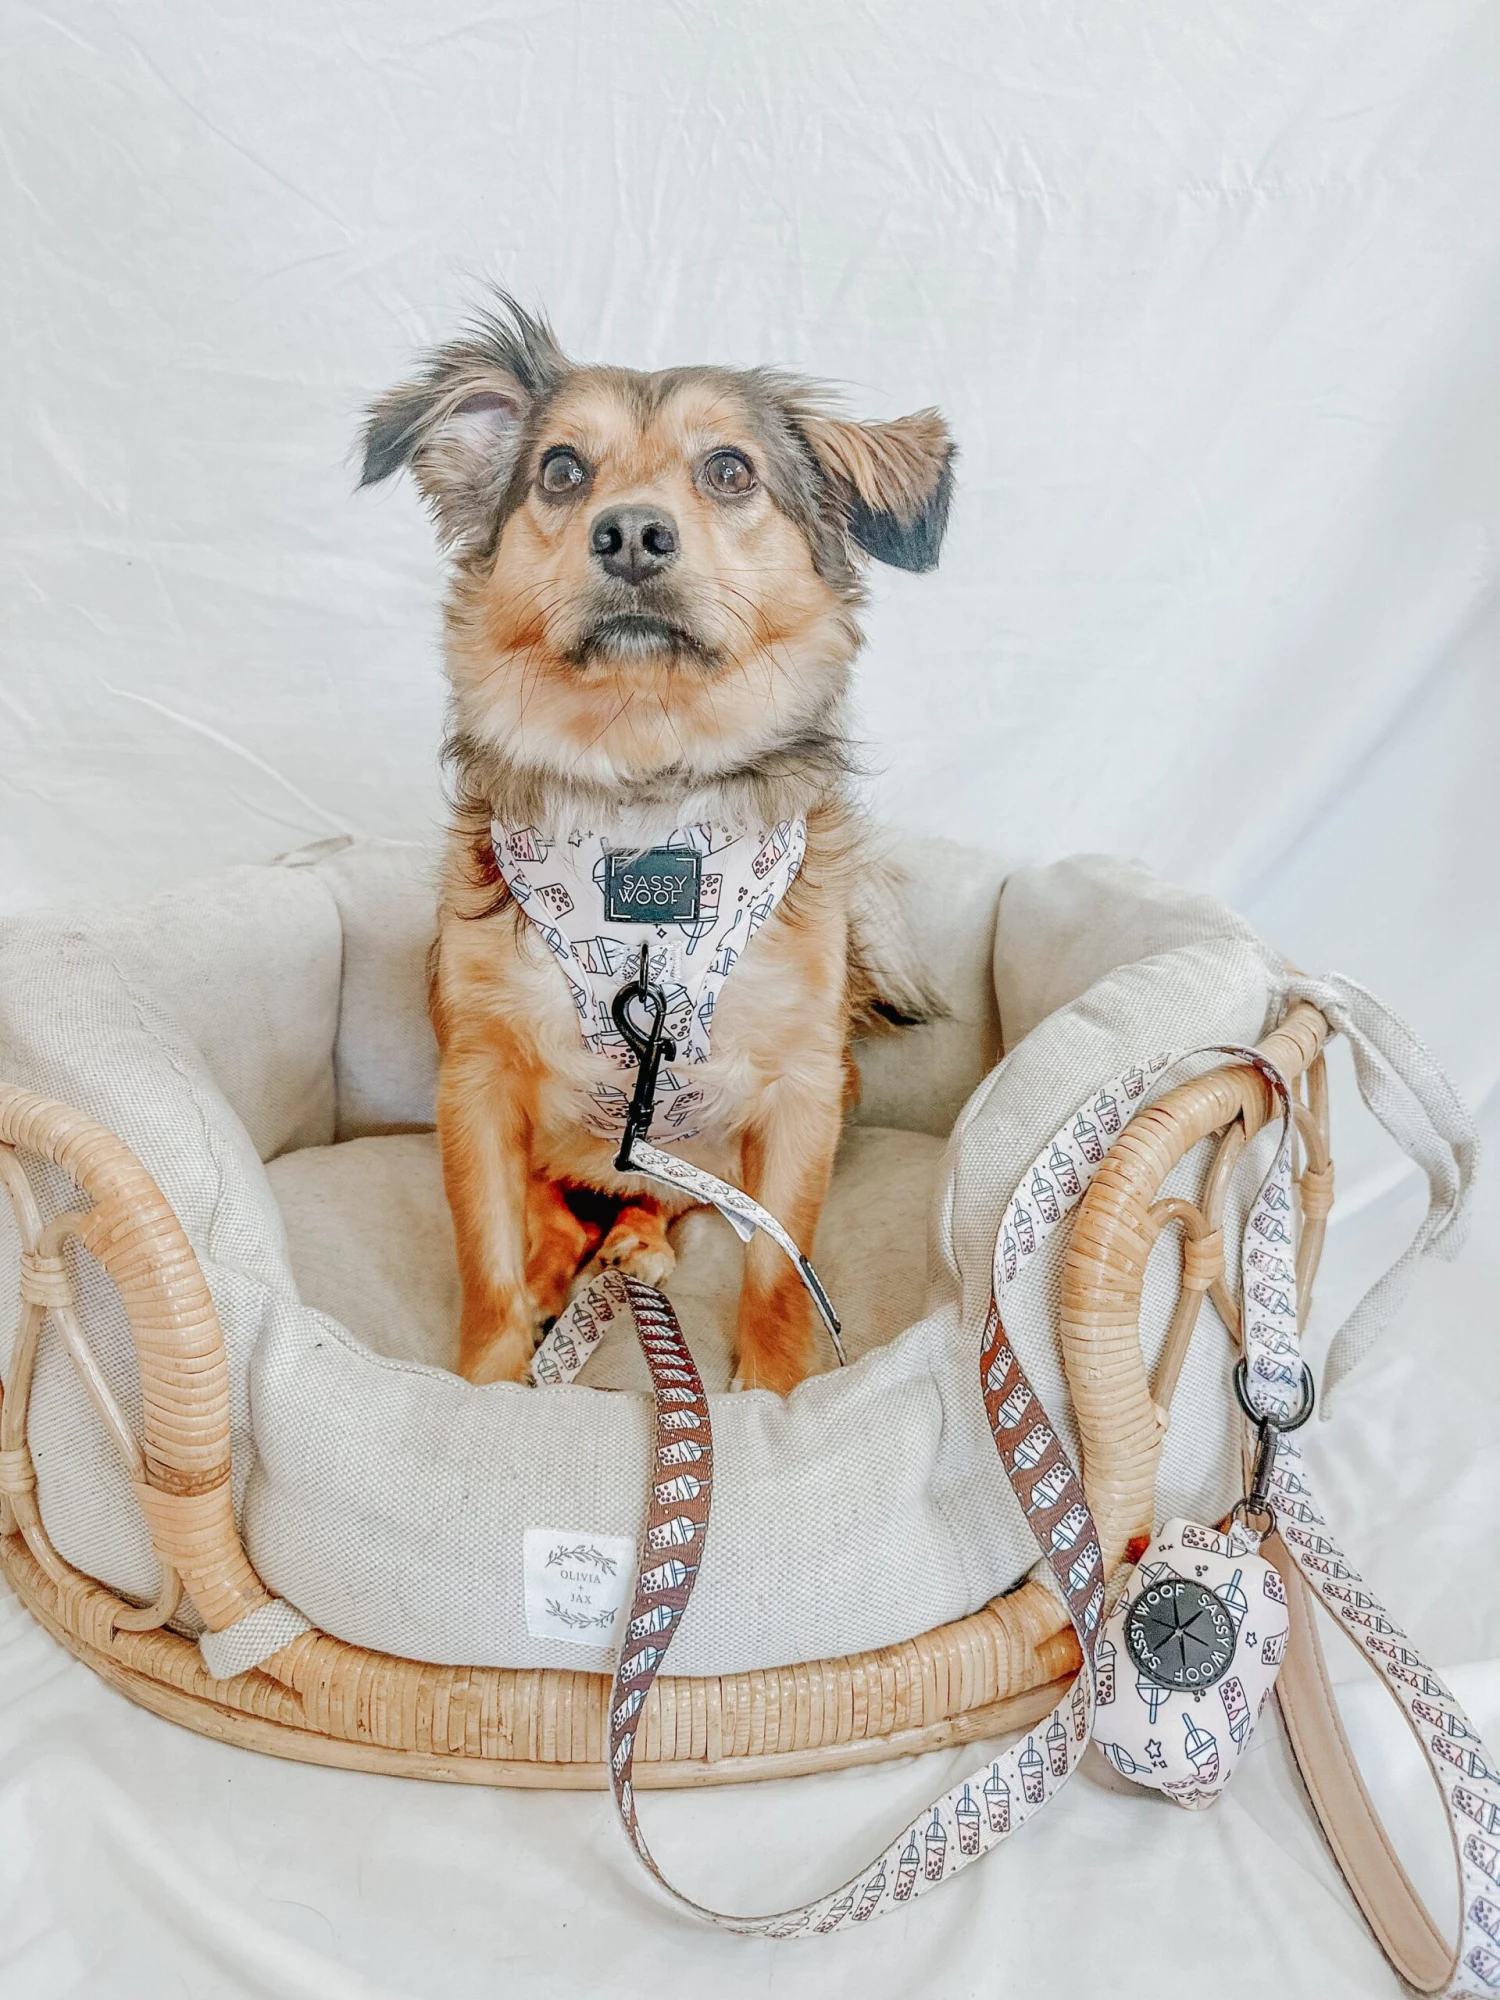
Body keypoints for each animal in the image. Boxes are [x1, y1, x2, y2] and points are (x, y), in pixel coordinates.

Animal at [360, 297, 953, 1393]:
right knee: (555, 1205)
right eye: (560, 469)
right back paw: (566, 1259)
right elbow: (485, 1258)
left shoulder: (805, 1096)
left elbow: (779, 1276)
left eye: (729, 469)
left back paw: (635, 1242)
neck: (643, 797)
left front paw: (773, 1393)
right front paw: (487, 1385)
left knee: (660, 1202)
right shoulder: (474, 1084)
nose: (632, 532)